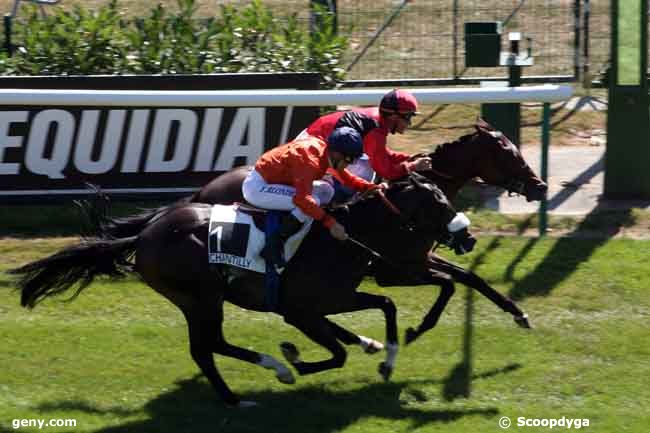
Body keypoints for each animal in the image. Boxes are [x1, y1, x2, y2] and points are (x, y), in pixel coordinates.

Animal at [11, 174, 466, 406]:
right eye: (441, 203)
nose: (466, 236)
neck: (342, 235)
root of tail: (145, 235)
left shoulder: (331, 300)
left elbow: (384, 306)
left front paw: (384, 357)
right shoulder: (300, 309)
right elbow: (336, 352)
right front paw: (296, 359)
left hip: (195, 299)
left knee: (207, 347)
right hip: (200, 297)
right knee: (208, 345)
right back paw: (260, 379)